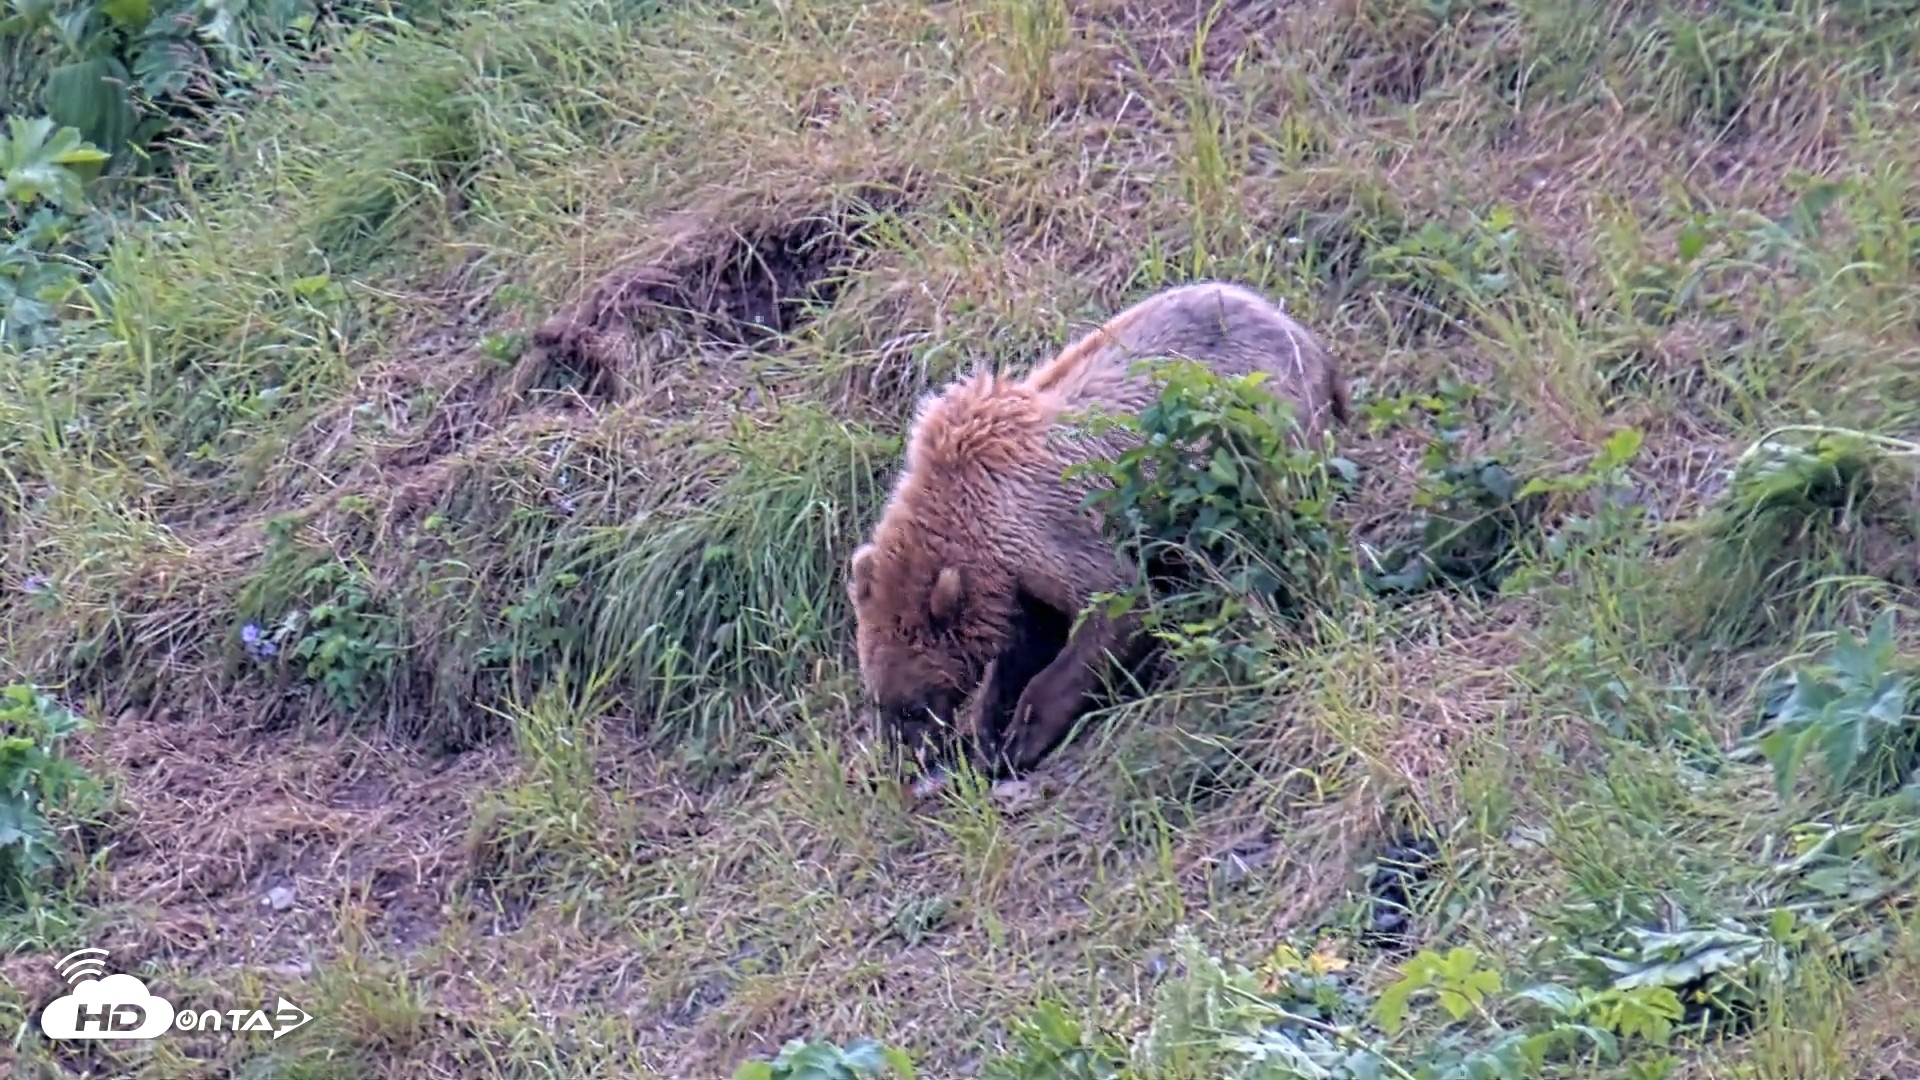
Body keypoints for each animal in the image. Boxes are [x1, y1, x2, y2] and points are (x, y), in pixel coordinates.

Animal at [847, 279, 1351, 784]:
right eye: (879, 700)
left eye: (912, 707)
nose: (900, 761)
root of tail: (1301, 332)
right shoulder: (1014, 577)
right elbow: (1028, 640)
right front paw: (990, 730)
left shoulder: (1047, 527)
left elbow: (1115, 605)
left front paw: (1019, 738)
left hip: (1263, 423)